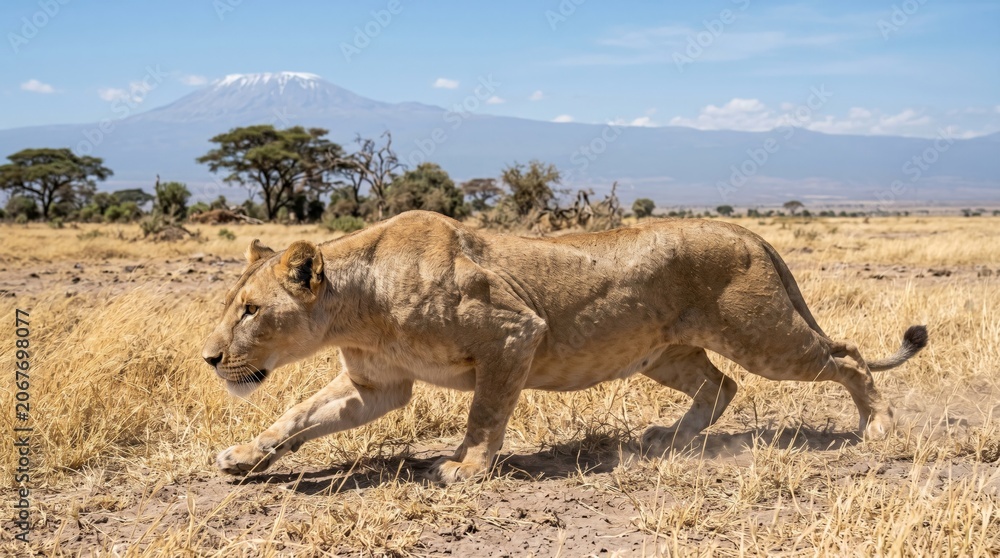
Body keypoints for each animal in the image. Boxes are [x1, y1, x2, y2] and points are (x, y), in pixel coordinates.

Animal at [202, 210, 927, 482]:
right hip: (668, 353)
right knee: (721, 386)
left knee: (847, 358)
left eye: (250, 310)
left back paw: (878, 428)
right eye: (230, 307)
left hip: (765, 337)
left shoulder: (513, 333)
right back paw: (668, 441)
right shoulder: (376, 385)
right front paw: (243, 457)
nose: (210, 359)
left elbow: (486, 412)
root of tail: (746, 230)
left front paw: (464, 468)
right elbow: (296, 417)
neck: (358, 305)